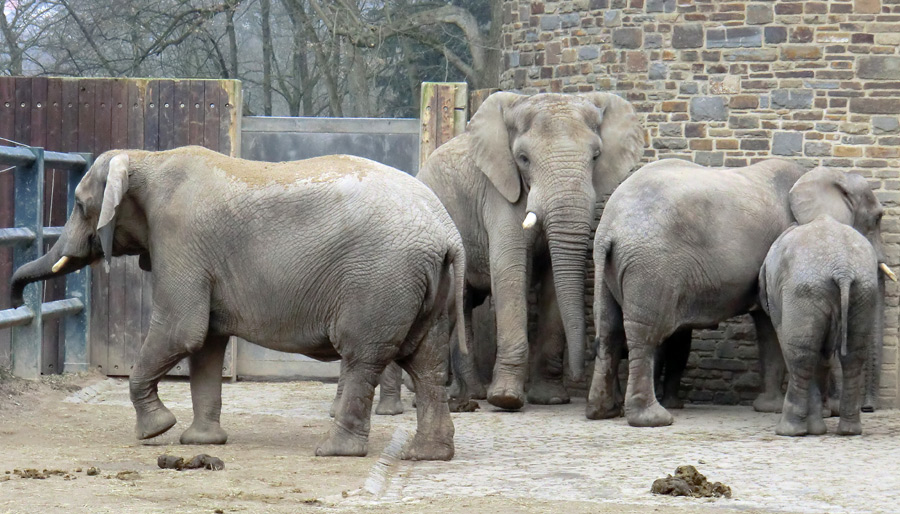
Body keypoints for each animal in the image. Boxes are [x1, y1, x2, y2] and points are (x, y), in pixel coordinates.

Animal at [8, 145, 464, 460]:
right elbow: (206, 344)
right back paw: (427, 455)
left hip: (379, 279)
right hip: (427, 284)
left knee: (362, 357)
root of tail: (447, 233)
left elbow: (181, 331)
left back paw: (334, 451)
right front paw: (200, 441)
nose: (14, 297)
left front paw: (156, 431)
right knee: (428, 362)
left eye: (79, 205)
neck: (147, 158)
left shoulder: (180, 239)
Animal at [414, 90, 648, 406]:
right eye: (523, 159)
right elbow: (510, 270)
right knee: (458, 299)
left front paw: (550, 399)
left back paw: (471, 395)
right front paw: (505, 400)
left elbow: (554, 279)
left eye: (596, 156)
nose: (592, 350)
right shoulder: (498, 193)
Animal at [588, 159, 888, 424]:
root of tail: (609, 229)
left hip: (614, 266)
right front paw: (815, 410)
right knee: (646, 334)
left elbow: (767, 326)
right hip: (651, 266)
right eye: (877, 218)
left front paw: (769, 407)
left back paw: (604, 412)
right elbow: (770, 321)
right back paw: (652, 419)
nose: (869, 408)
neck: (826, 175)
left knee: (610, 329)